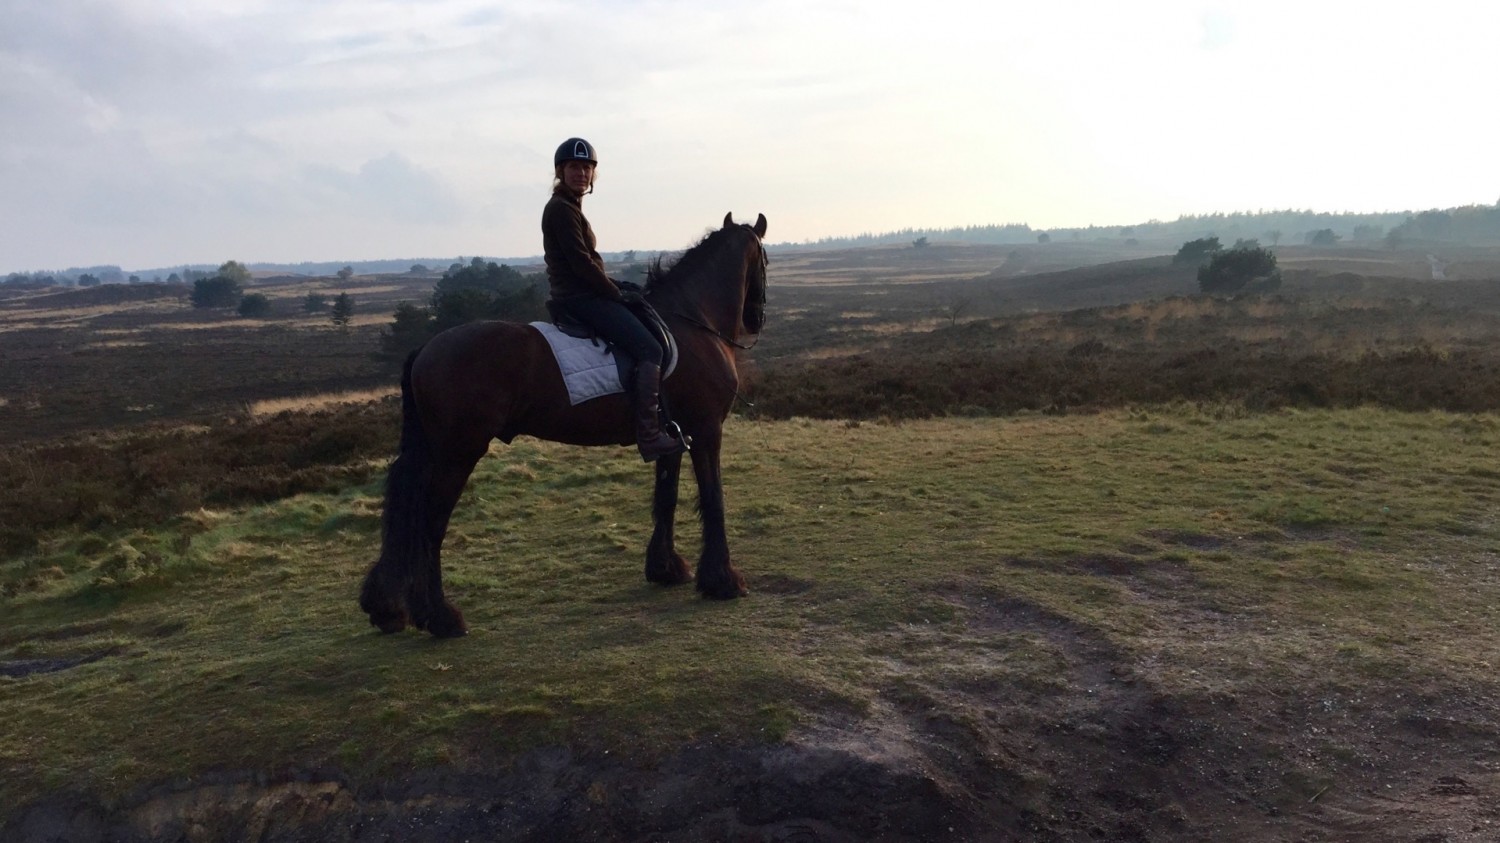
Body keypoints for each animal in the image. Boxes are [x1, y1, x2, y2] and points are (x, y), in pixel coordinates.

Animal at [358, 211, 768, 636]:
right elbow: (713, 498)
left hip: (434, 452)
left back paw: (389, 608)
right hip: (457, 454)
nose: (756, 318)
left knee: (406, 517)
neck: (692, 323)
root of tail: (427, 348)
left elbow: (666, 498)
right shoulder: (706, 430)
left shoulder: (674, 436)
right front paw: (722, 580)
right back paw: (440, 617)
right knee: (429, 524)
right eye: (764, 260)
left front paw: (665, 568)